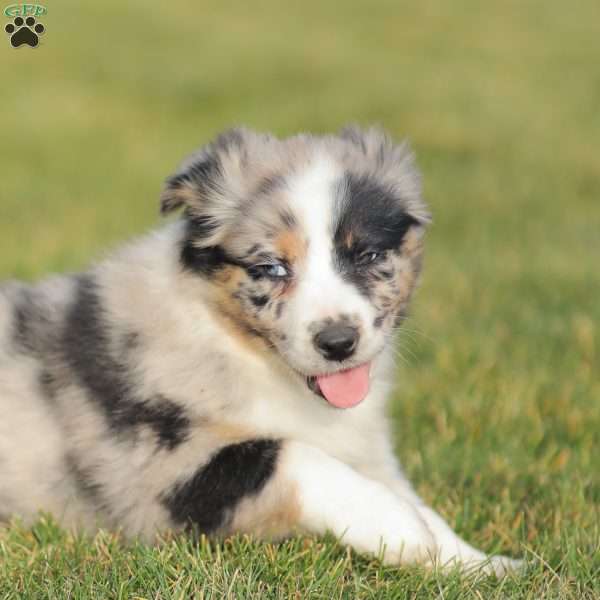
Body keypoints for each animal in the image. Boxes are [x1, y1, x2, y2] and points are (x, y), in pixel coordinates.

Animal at [0, 125, 520, 572]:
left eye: (368, 255)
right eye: (272, 268)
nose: (338, 342)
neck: (241, 352)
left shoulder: (365, 448)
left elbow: (420, 504)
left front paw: (481, 565)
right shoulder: (156, 472)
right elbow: (294, 454)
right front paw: (401, 531)